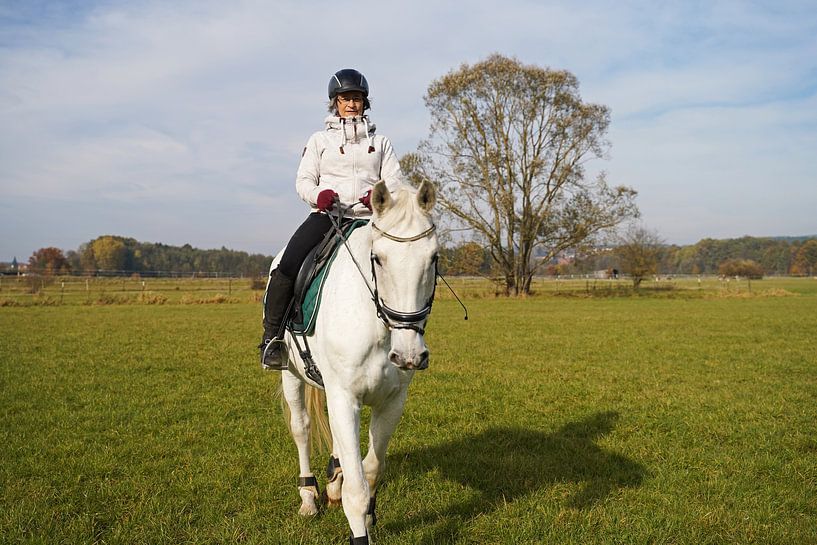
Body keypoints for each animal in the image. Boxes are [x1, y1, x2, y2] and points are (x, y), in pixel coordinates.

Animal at [270, 180, 438, 544]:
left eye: (433, 258)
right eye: (378, 259)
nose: (408, 355)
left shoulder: (391, 402)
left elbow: (371, 469)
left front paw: (368, 517)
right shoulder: (345, 397)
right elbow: (357, 490)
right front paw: (359, 530)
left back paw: (334, 480)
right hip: (291, 374)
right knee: (301, 429)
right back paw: (309, 497)